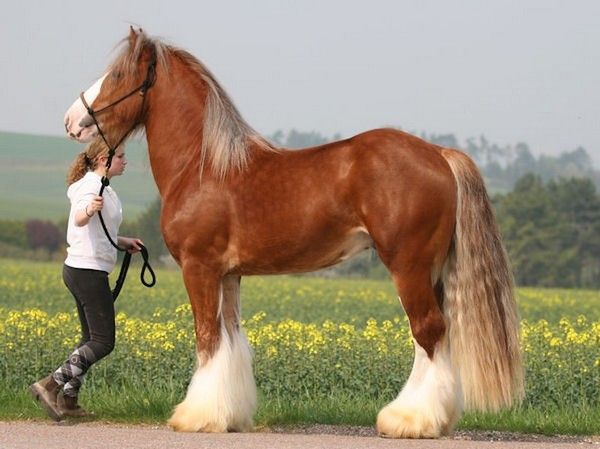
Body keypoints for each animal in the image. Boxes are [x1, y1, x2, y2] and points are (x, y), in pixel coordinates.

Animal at [65, 28, 524, 438]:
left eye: (118, 75)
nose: (72, 120)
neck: (204, 166)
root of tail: (440, 155)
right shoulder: (229, 275)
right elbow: (231, 339)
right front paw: (228, 415)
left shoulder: (200, 268)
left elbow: (207, 338)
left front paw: (195, 416)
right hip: (432, 272)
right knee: (434, 337)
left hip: (407, 266)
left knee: (427, 331)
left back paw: (410, 421)